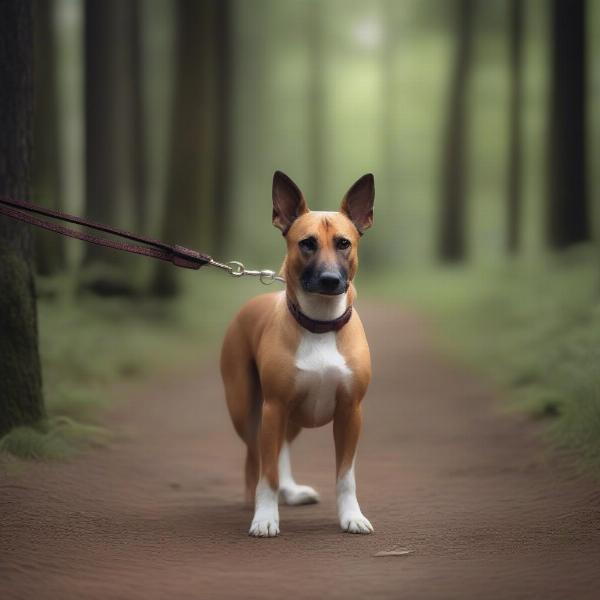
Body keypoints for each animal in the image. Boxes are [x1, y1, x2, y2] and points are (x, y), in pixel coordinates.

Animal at [221, 170, 376, 540]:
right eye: (307, 243)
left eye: (344, 243)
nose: (330, 279)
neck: (320, 325)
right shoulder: (273, 408)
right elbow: (267, 474)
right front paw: (265, 517)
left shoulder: (351, 413)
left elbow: (345, 477)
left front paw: (352, 516)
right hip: (247, 410)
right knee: (257, 458)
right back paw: (258, 501)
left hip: (292, 416)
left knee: (282, 451)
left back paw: (290, 492)